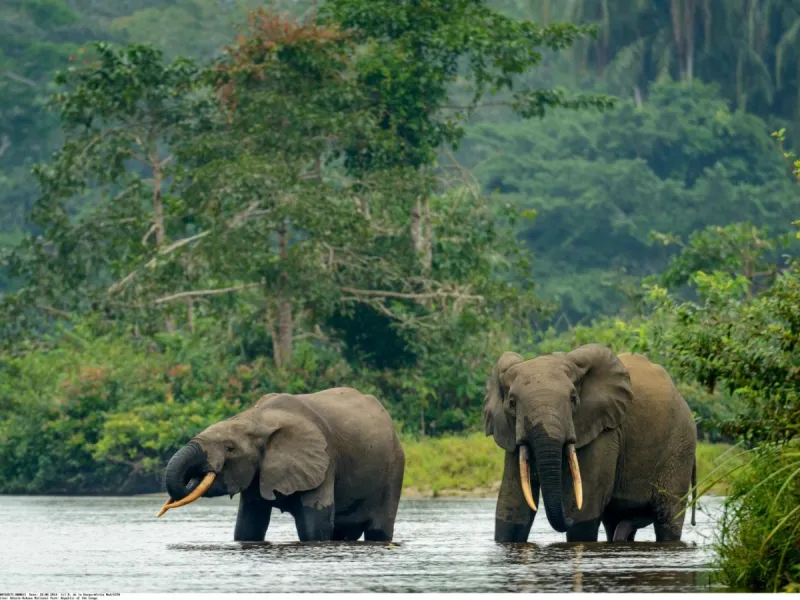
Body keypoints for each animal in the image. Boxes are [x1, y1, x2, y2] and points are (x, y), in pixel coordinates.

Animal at [156, 386, 406, 540]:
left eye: (230, 448)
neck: (256, 419)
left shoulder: (324, 461)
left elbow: (315, 528)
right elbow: (248, 525)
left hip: (395, 468)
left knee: (378, 530)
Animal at [484, 342, 696, 544]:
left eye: (573, 399)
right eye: (512, 403)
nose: (565, 519)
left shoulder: (604, 431)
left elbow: (584, 512)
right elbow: (512, 507)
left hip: (681, 445)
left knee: (668, 517)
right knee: (615, 521)